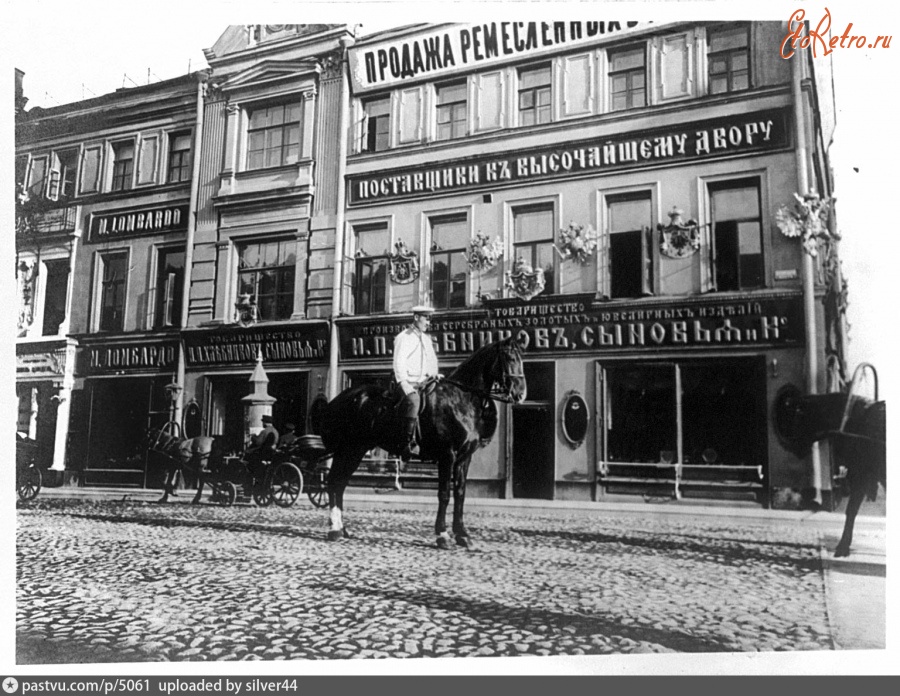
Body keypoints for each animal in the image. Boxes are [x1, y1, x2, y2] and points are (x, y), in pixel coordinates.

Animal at [316, 338, 528, 548]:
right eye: (509, 357)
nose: (521, 394)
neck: (459, 399)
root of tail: (339, 400)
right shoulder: (447, 455)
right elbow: (444, 493)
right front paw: (443, 534)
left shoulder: (464, 458)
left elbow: (460, 493)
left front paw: (462, 534)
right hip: (348, 450)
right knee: (334, 482)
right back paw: (334, 529)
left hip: (357, 450)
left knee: (340, 484)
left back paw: (342, 528)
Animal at [780, 370, 884, 556]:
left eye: (794, 418)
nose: (787, 446)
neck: (851, 420)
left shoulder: (861, 475)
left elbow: (851, 510)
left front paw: (843, 546)